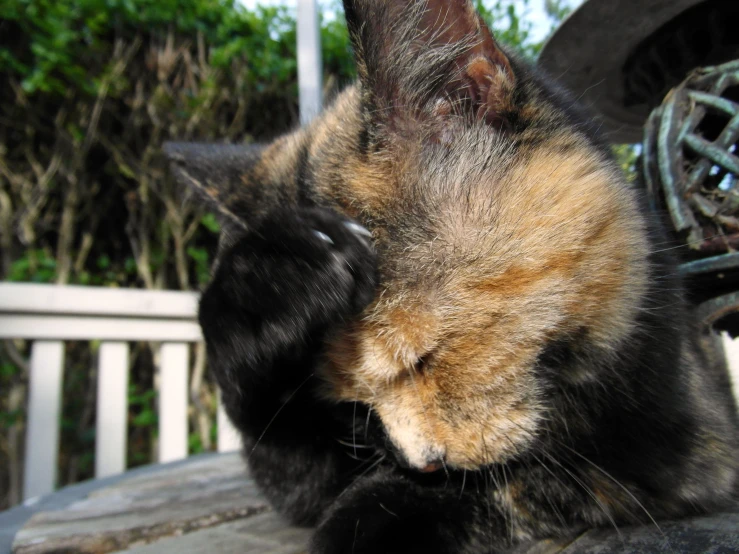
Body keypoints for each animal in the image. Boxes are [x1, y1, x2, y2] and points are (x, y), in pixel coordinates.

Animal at [165, 2, 736, 548]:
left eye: (425, 358)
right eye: (353, 406)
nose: (422, 463)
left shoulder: (682, 451)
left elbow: (530, 482)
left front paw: (373, 516)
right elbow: (279, 449)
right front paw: (271, 281)